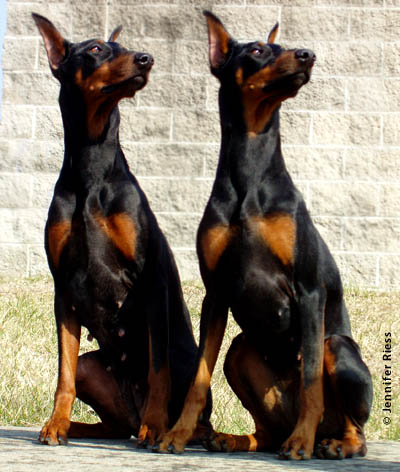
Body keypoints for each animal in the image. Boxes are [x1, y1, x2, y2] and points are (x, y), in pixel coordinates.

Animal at [32, 13, 212, 450]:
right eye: (96, 48)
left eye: (125, 47)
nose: (146, 58)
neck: (90, 168)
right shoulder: (63, 288)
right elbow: (63, 373)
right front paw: (55, 423)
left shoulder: (151, 280)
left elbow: (159, 370)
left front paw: (156, 427)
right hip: (93, 369)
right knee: (108, 420)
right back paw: (77, 426)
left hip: (187, 363)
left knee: (193, 413)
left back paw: (173, 429)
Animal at [155, 12, 372, 460]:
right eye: (256, 49)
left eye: (284, 45)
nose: (307, 54)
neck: (250, 169)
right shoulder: (216, 293)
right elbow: (198, 378)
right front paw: (178, 434)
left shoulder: (309, 289)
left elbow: (311, 382)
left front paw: (301, 443)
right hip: (240, 351)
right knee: (267, 429)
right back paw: (235, 438)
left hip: (337, 347)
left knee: (356, 429)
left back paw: (329, 443)